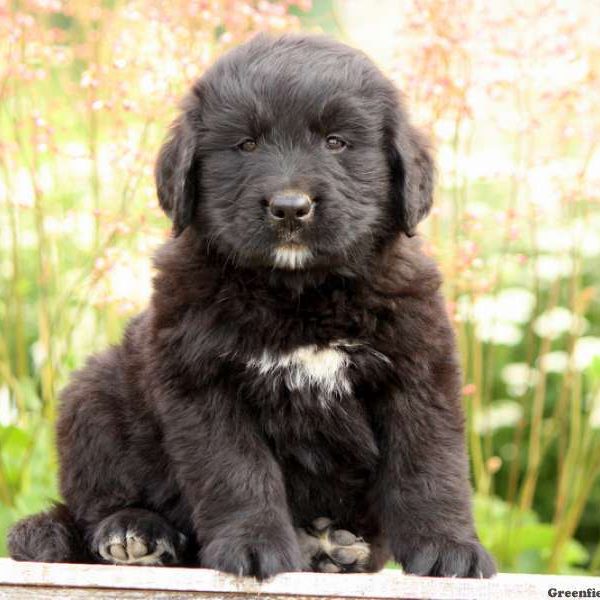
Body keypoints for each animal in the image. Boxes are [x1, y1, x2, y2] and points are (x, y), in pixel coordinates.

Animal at [8, 35, 496, 580]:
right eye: (246, 145)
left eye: (336, 142)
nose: (289, 207)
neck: (301, 296)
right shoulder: (203, 381)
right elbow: (236, 471)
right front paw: (255, 545)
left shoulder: (417, 369)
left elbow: (429, 467)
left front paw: (449, 548)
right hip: (93, 395)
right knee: (92, 504)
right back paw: (135, 533)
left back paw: (327, 548)